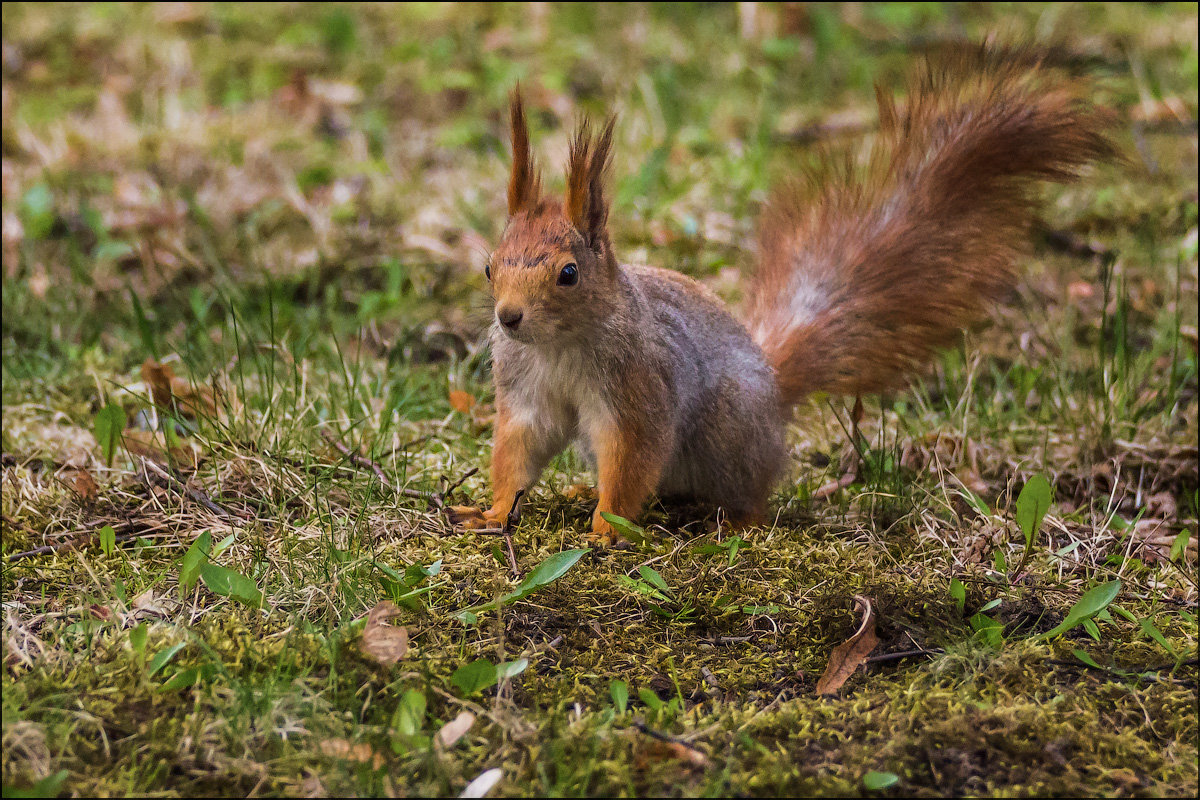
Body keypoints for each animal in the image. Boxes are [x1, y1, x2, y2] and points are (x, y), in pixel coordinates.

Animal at [451, 42, 1113, 544]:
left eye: (568, 274)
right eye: (488, 268)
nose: (508, 318)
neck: (561, 344)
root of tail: (772, 387)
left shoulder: (638, 390)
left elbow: (632, 456)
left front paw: (606, 528)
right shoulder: (526, 390)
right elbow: (520, 448)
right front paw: (491, 512)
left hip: (727, 430)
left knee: (748, 490)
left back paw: (733, 522)